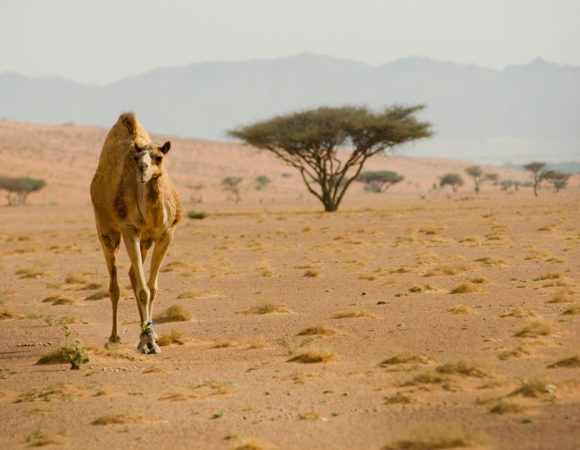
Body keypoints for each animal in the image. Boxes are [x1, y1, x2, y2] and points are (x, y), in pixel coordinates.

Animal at [90, 112, 181, 356]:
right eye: (137, 157)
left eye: (159, 157)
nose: (142, 168)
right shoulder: (129, 230)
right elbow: (143, 291)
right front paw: (148, 341)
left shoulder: (166, 233)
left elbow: (152, 288)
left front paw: (151, 337)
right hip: (106, 230)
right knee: (114, 285)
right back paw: (114, 337)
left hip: (146, 241)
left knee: (132, 274)